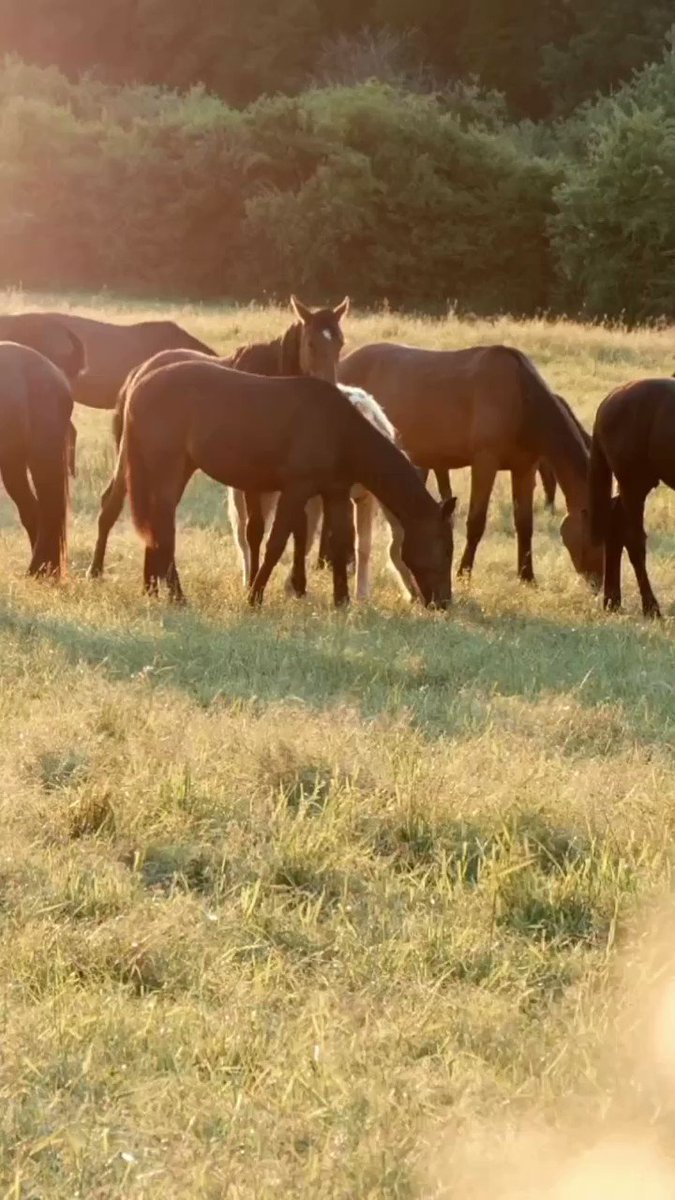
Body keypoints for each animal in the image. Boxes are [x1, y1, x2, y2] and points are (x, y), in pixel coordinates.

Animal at [86, 296, 350, 582]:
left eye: (340, 343)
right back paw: (96, 569)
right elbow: (254, 529)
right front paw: (252, 581)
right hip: (133, 458)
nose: (331, 392)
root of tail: (141, 370)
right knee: (112, 504)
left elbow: (293, 527)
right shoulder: (252, 480)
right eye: (311, 343)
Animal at [123, 360, 456, 609]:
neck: (339, 429)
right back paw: (177, 596)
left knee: (157, 526)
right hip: (167, 469)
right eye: (443, 548)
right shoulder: (296, 490)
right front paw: (254, 597)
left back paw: (155, 591)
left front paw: (342, 601)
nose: (443, 602)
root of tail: (140, 385)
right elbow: (277, 542)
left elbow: (340, 544)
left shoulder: (335, 493)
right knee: (164, 526)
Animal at [338, 342, 601, 586]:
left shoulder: (524, 468)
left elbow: (524, 523)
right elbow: (476, 522)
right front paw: (464, 574)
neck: (519, 397)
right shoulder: (485, 462)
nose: (598, 584)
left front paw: (527, 576)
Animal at [588, 377, 675, 618]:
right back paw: (651, 607)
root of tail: (610, 399)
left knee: (614, 526)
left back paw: (612, 602)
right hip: (634, 483)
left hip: (636, 485)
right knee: (633, 539)